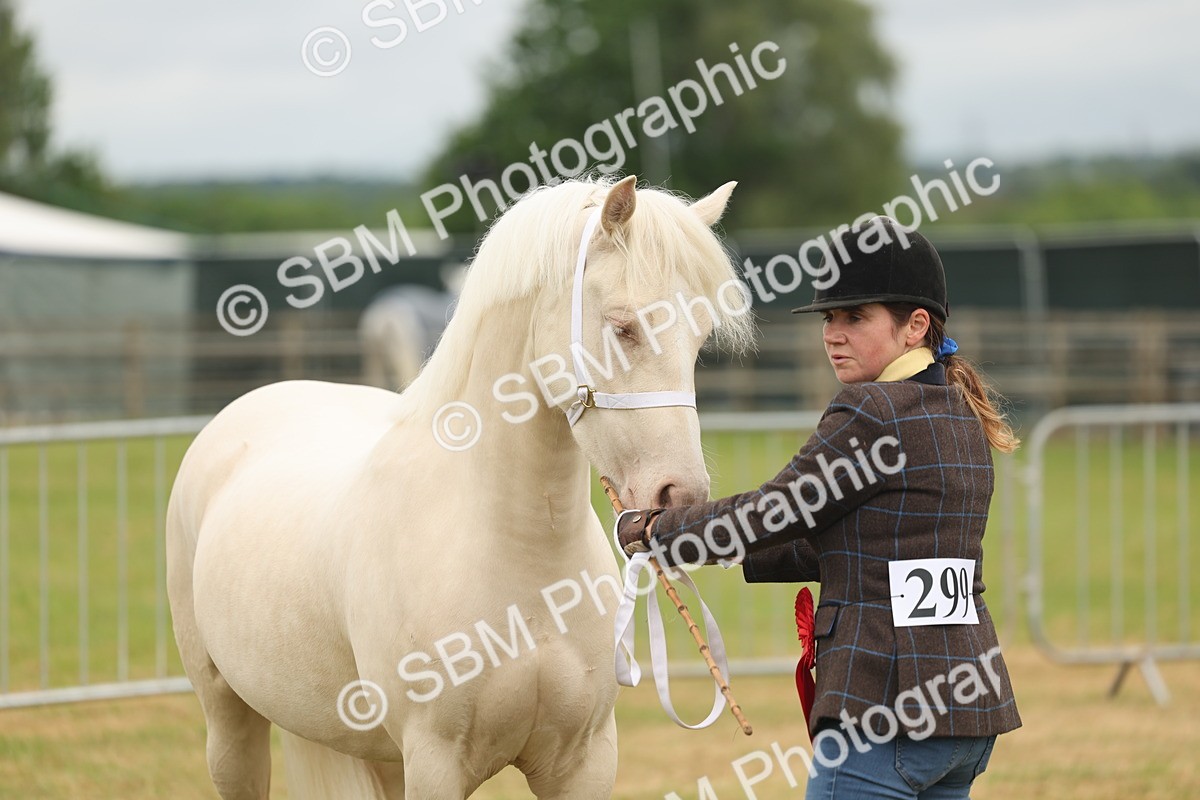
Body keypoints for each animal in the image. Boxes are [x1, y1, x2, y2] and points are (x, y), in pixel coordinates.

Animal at [166, 175, 755, 800]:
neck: (519, 556)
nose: (680, 497)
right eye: (623, 327)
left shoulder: (585, 760)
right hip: (229, 719)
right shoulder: (435, 762)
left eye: (700, 338)